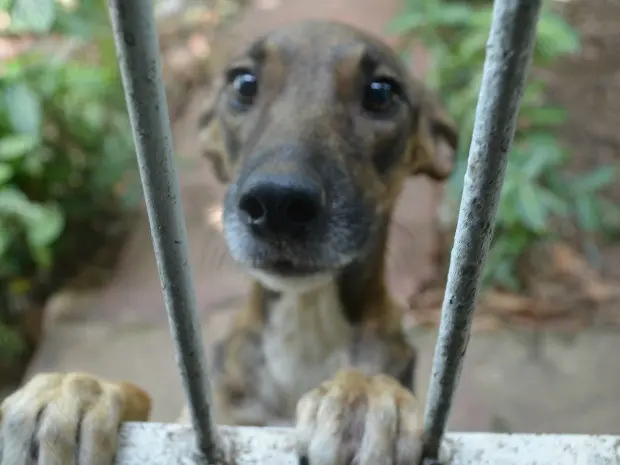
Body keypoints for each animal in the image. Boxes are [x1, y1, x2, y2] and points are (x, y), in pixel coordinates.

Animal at [0, 20, 458, 464]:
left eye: (381, 92)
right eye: (244, 84)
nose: (278, 203)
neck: (305, 322)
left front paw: (363, 391)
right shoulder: (208, 429)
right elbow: (143, 400)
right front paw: (80, 390)